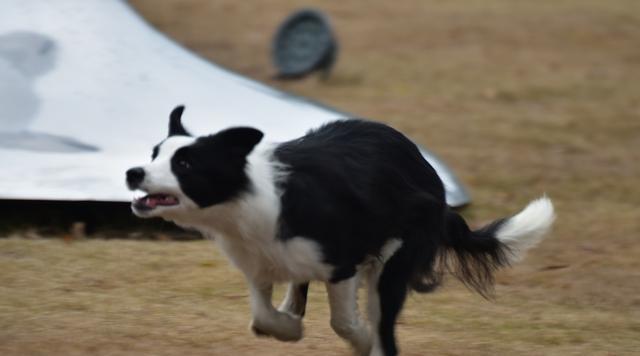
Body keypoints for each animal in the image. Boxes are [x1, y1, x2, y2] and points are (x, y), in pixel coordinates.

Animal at [126, 106, 556, 356]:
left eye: (185, 163)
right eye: (154, 154)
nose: (133, 173)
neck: (248, 196)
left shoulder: (341, 262)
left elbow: (344, 322)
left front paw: (360, 340)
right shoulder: (260, 262)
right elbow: (262, 316)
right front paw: (289, 327)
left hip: (396, 259)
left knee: (384, 322)